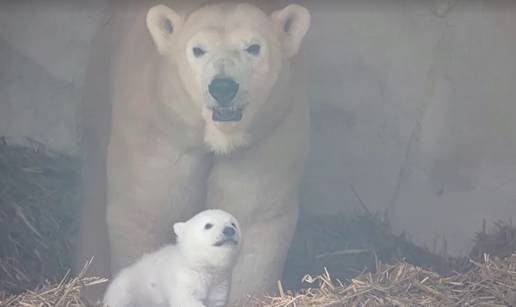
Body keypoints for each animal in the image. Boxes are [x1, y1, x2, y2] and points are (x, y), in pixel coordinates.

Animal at [76, 0, 310, 304]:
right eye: (198, 49)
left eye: (253, 47)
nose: (223, 87)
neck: (218, 138)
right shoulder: (158, 126)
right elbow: (145, 208)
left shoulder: (267, 134)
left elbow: (253, 213)